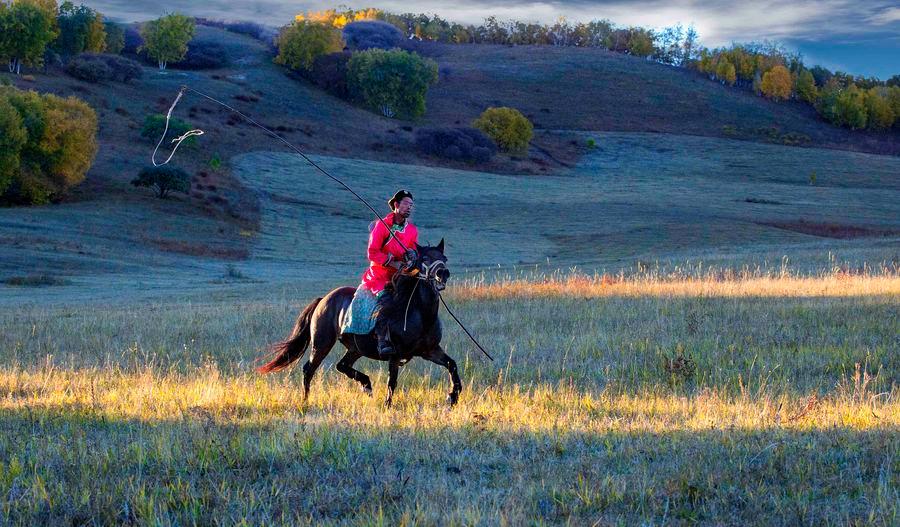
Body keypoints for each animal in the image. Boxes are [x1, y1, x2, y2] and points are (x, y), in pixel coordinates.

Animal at [255, 239, 460, 408]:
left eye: (444, 258)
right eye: (424, 258)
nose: (443, 273)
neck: (420, 314)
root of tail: (324, 299)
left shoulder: (430, 351)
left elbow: (452, 365)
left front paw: (453, 396)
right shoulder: (395, 354)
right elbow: (392, 381)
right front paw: (387, 406)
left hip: (355, 348)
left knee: (342, 366)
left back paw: (366, 385)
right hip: (322, 344)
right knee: (309, 369)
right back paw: (305, 401)